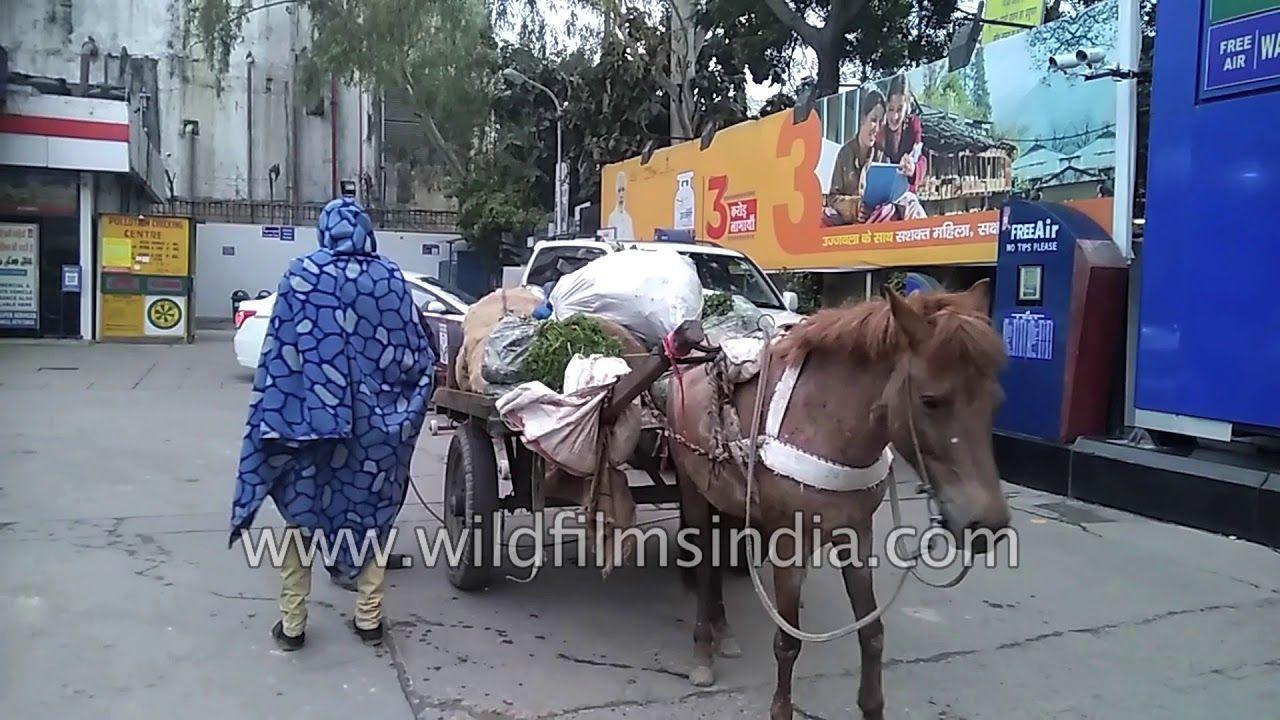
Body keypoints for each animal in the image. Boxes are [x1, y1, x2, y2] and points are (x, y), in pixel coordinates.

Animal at [670, 281, 1008, 717]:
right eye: (930, 401)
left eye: (996, 401)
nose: (987, 524)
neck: (825, 421)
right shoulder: (789, 546)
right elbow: (787, 641)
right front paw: (781, 709)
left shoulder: (857, 535)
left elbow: (872, 631)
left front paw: (872, 705)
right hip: (692, 490)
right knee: (704, 567)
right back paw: (703, 651)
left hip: (724, 497)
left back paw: (723, 631)